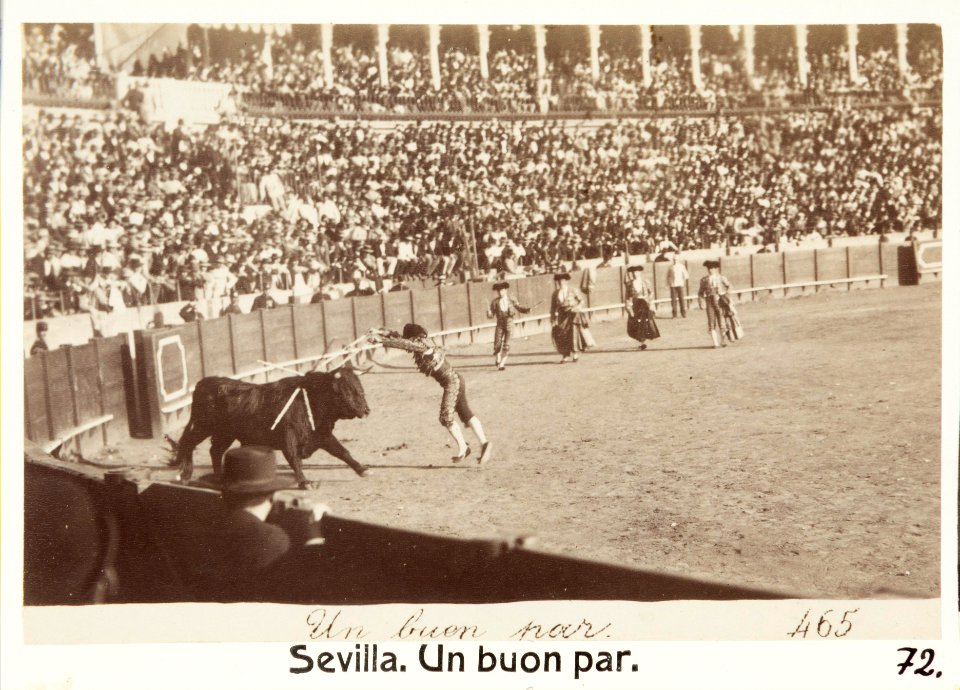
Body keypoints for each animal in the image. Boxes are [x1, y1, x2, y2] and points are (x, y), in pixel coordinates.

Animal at [172, 362, 372, 486]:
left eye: (359, 386)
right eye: (347, 390)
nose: (366, 410)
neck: (309, 399)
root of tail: (203, 383)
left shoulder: (322, 435)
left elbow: (342, 452)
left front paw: (362, 469)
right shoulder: (288, 438)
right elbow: (295, 459)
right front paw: (304, 482)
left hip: (225, 433)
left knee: (215, 451)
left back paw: (220, 477)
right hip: (203, 426)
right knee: (188, 443)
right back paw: (185, 477)